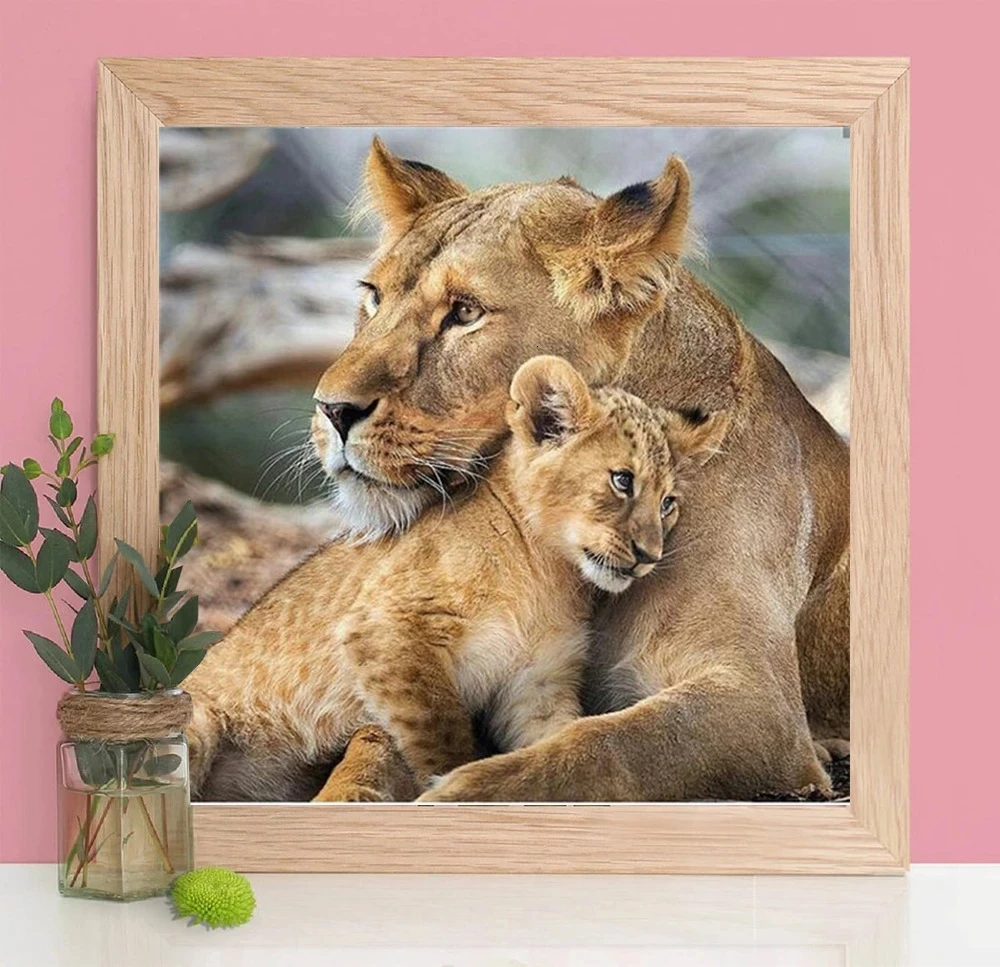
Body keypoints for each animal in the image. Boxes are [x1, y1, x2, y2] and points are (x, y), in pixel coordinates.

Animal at [185, 138, 848, 802]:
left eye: (465, 311)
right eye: (373, 295)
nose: (331, 410)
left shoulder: (760, 706)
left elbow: (604, 748)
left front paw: (454, 793)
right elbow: (382, 734)